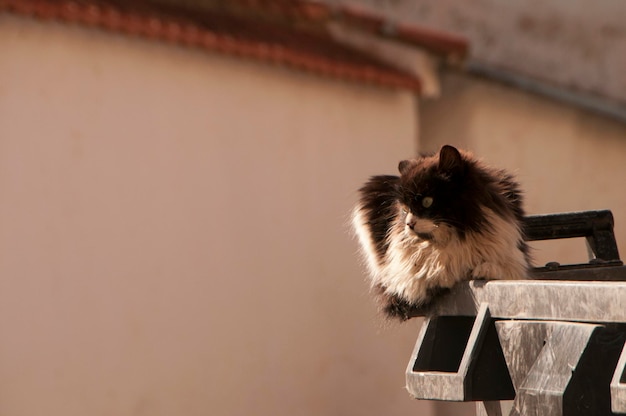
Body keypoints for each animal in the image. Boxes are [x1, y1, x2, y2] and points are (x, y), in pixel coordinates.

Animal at [352, 145, 528, 320]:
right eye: (405, 209)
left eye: (427, 201)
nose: (409, 224)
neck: (455, 237)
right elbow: (422, 272)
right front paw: (440, 274)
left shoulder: (517, 262)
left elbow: (504, 268)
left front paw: (485, 270)